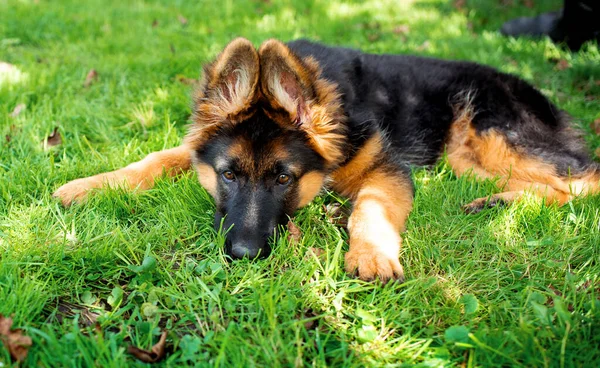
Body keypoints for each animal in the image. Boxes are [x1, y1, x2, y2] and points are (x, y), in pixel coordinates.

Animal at [52, 38, 600, 282]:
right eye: (228, 175)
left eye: (283, 178)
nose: (244, 255)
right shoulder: (196, 148)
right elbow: (159, 156)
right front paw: (92, 184)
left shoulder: (387, 168)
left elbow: (371, 205)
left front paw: (371, 255)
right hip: (464, 156)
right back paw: (498, 202)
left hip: (493, 130)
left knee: (584, 175)